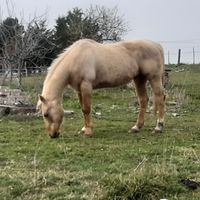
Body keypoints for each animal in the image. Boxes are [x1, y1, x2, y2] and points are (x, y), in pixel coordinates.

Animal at [36, 38, 165, 138]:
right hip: (139, 79)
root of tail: (157, 45)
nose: (52, 135)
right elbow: (83, 109)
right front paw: (84, 129)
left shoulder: (86, 86)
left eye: (45, 114)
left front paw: (88, 131)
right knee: (143, 100)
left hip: (154, 78)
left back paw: (158, 127)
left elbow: (86, 109)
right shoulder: (79, 90)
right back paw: (136, 127)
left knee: (160, 98)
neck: (76, 58)